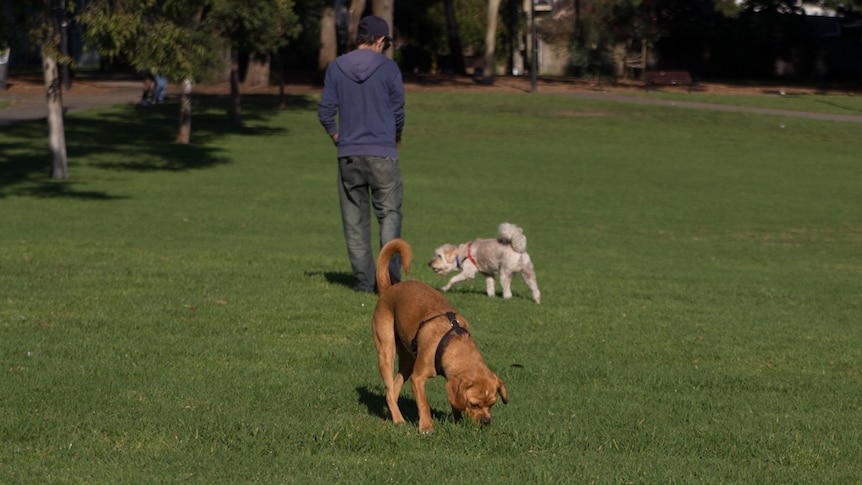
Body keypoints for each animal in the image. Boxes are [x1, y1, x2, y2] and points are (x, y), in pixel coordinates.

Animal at [372, 237, 506, 432]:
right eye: (474, 404)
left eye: (492, 404)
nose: (486, 422)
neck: (454, 342)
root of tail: (388, 289)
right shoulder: (418, 378)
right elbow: (424, 404)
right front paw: (426, 427)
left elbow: (454, 403)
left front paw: (457, 423)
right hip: (386, 350)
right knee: (389, 389)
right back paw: (398, 419)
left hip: (407, 360)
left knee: (394, 389)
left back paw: (392, 415)